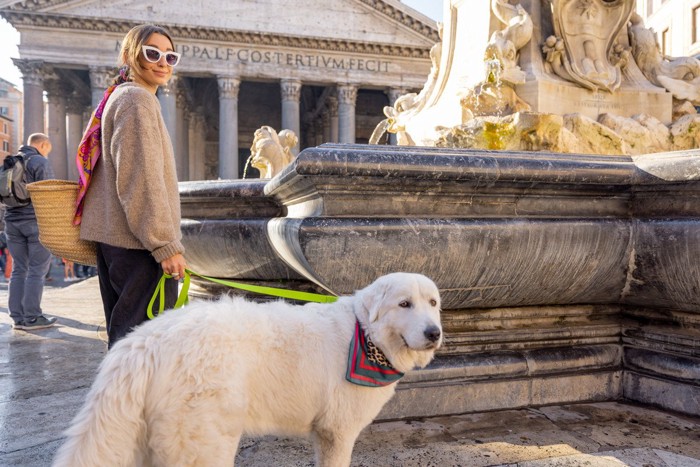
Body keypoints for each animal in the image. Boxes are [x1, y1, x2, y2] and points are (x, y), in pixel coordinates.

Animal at [53, 272, 442, 466]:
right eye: (404, 304)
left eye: (433, 303)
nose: (434, 333)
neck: (365, 334)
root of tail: (146, 340)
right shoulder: (338, 432)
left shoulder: (324, 435)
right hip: (207, 444)